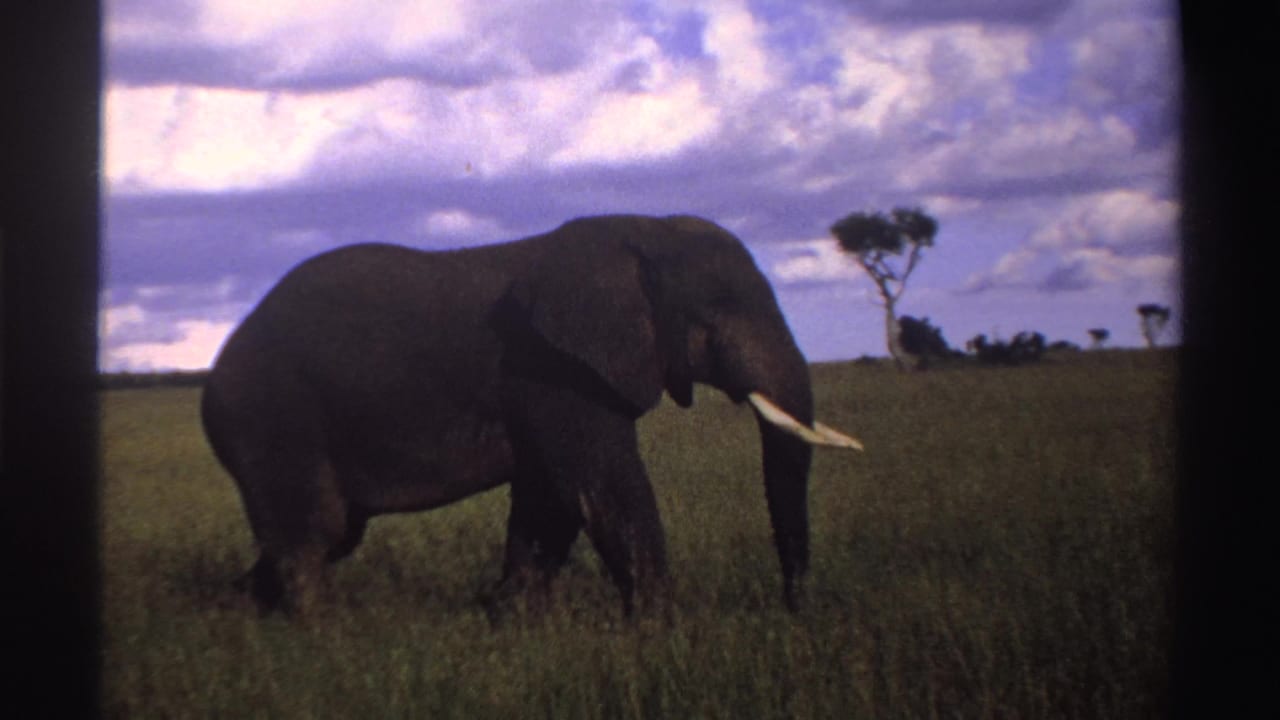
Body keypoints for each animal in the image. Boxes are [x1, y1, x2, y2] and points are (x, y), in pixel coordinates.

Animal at [201, 214, 862, 618]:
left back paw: (235, 617)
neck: (640, 230)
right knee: (312, 531)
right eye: (716, 312)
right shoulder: (554, 369)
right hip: (273, 413)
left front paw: (511, 622)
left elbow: (552, 499)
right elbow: (601, 489)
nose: (792, 609)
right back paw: (320, 634)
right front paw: (661, 633)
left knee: (329, 532)